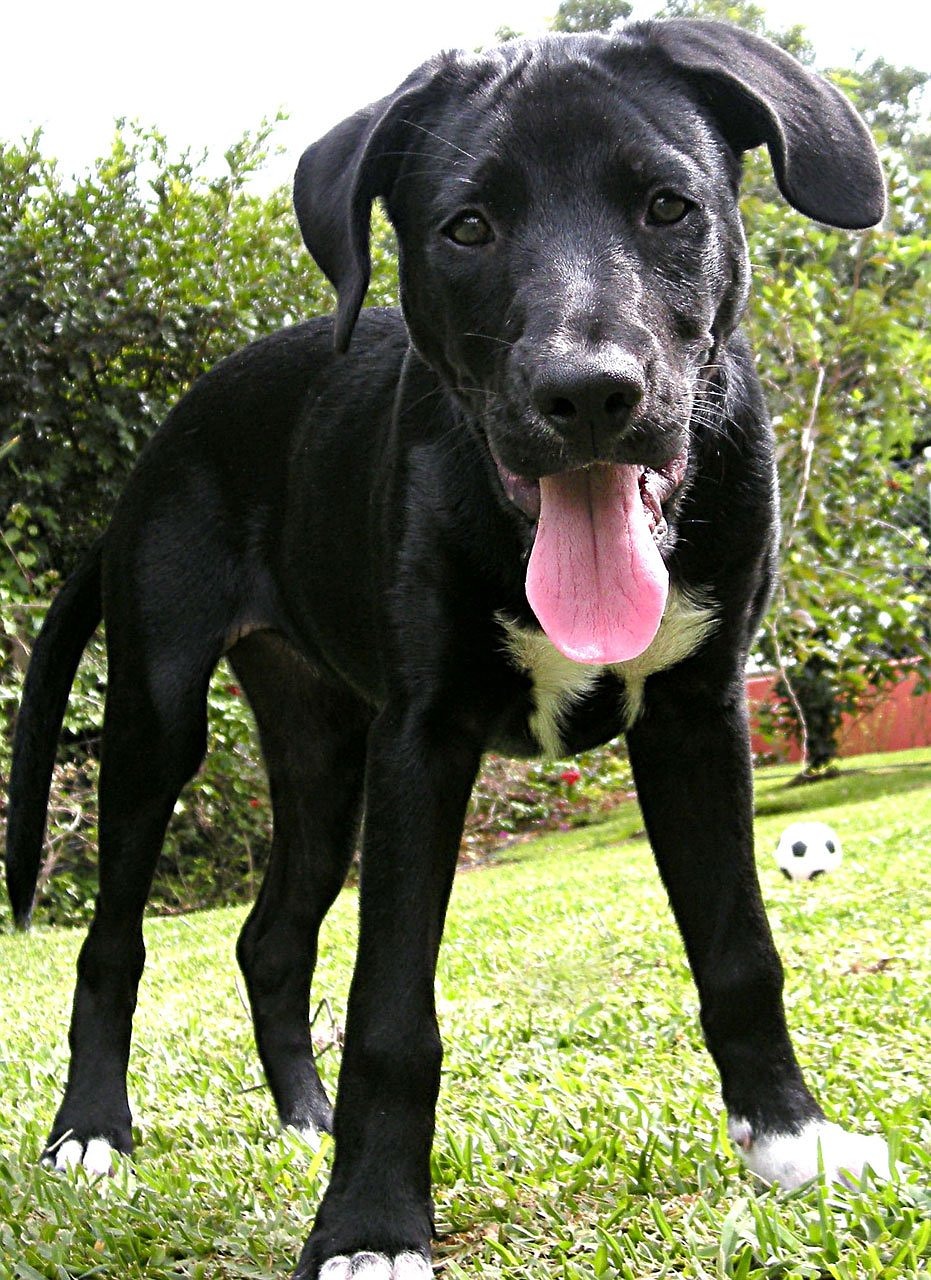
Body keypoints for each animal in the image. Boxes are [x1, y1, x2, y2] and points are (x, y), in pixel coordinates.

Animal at [9, 20, 896, 1280]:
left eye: (667, 206)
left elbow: (741, 949)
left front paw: (790, 1139)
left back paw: (303, 1119)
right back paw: (91, 1131)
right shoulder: (424, 737)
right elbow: (392, 1009)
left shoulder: (697, 709)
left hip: (324, 751)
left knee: (270, 940)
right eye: (467, 227)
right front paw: (371, 1225)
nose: (589, 393)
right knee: (111, 943)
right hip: (160, 720)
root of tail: (164, 437)